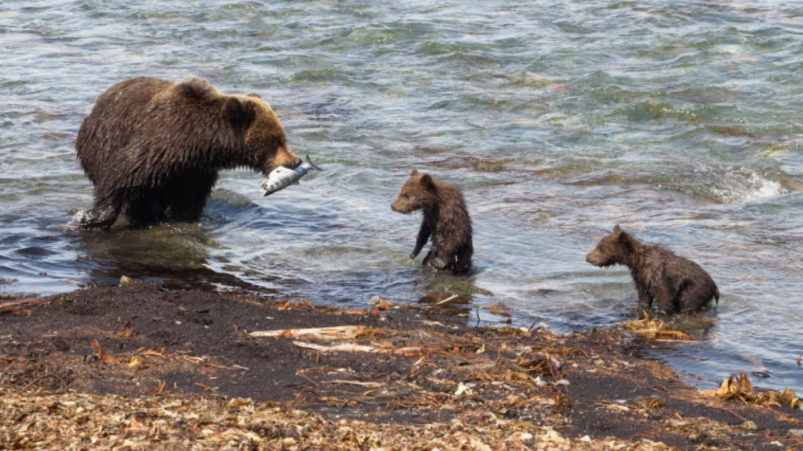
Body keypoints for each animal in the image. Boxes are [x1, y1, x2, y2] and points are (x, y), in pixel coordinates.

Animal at [74, 76, 302, 230]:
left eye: (282, 138)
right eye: (276, 141)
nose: (295, 160)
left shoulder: (195, 170)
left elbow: (190, 198)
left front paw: (184, 219)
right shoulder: (157, 145)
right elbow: (122, 175)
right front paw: (89, 218)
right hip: (99, 145)